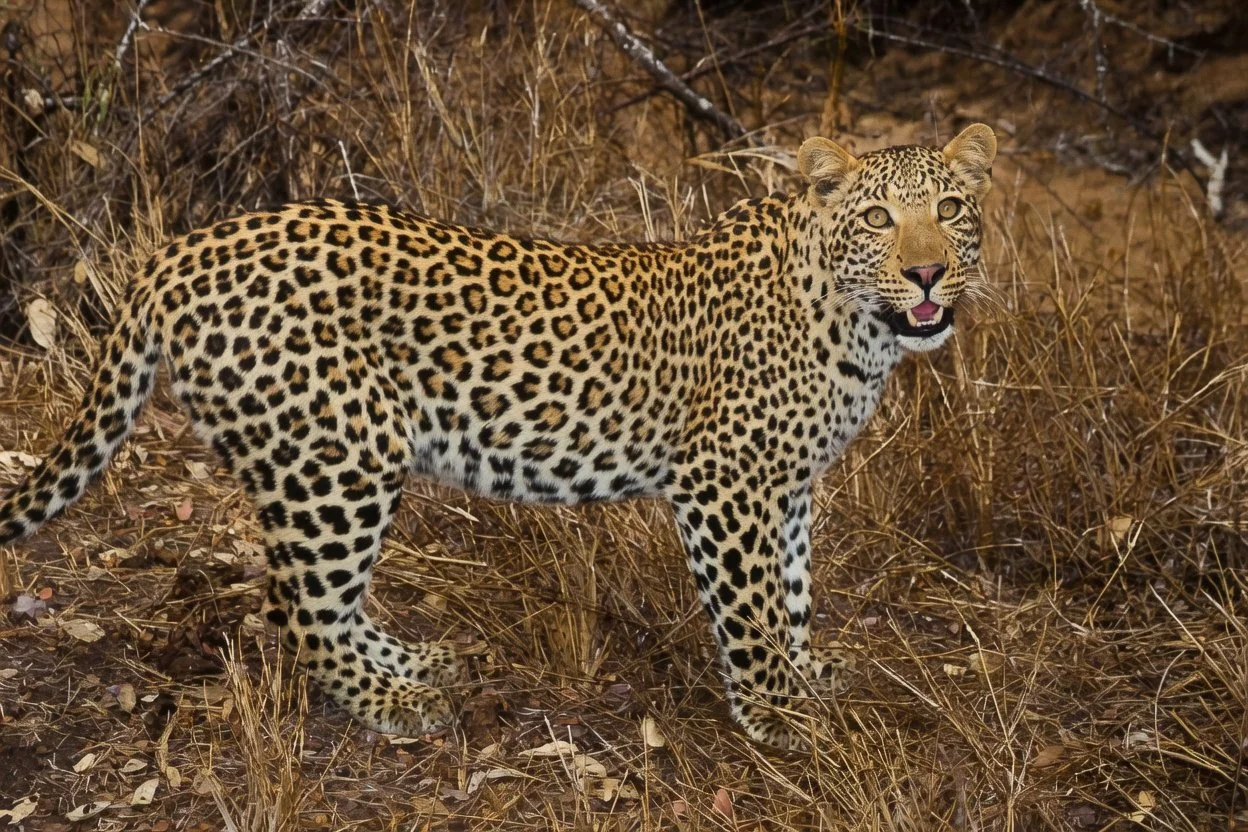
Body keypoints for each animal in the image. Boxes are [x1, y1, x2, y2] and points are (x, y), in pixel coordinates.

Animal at [0, 124, 995, 750]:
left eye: (951, 208)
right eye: (878, 219)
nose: (927, 272)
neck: (858, 328)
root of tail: (178, 251)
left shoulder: (786, 486)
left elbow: (790, 591)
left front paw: (806, 673)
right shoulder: (726, 484)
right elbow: (749, 609)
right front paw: (780, 715)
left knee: (324, 599)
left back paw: (421, 663)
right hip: (338, 456)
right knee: (301, 605)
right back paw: (394, 702)